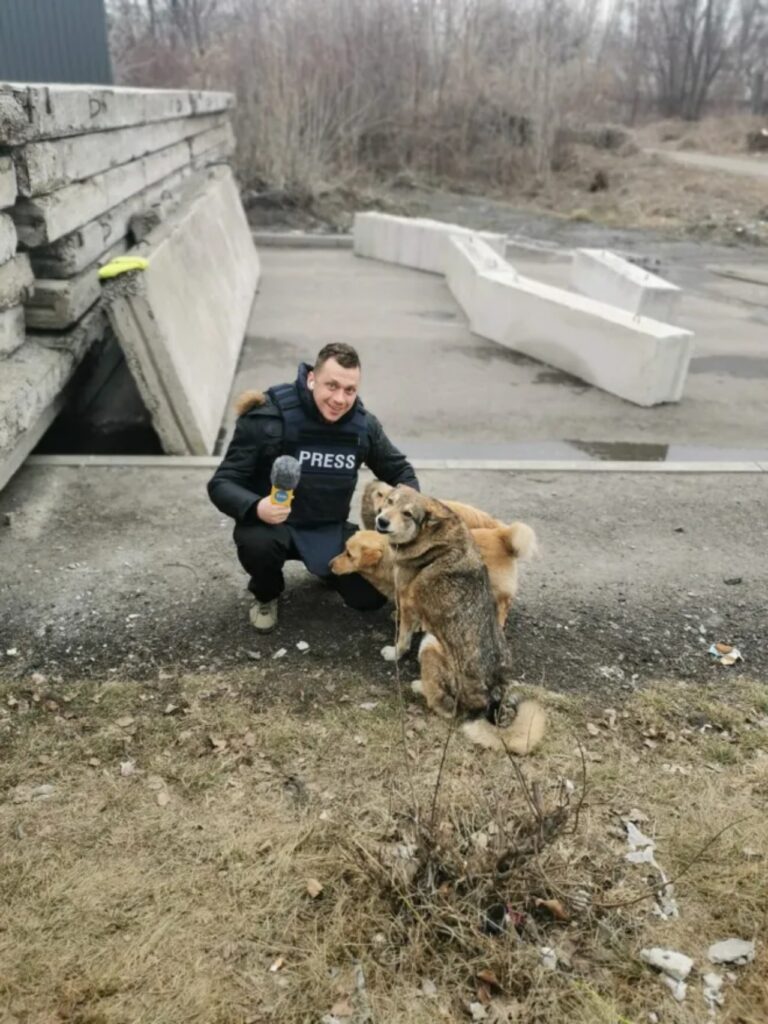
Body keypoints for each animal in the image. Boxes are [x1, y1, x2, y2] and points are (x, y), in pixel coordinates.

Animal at [374, 483, 544, 757]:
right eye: (389, 501)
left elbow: (403, 638)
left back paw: (419, 686)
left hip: (431, 644)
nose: (381, 520)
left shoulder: (407, 602)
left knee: (442, 705)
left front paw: (395, 653)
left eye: (408, 514)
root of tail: (488, 701)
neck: (430, 535)